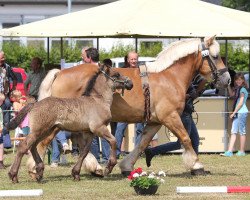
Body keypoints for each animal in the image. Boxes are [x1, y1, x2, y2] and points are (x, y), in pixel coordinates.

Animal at [26, 35, 229, 177]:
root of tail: (60, 72)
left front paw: (126, 166)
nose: (227, 79)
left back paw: (94, 167)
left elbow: (142, 144)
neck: (168, 77)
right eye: (216, 56)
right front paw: (197, 165)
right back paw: (34, 168)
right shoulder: (170, 117)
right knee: (43, 142)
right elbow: (186, 138)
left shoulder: (155, 121)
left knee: (80, 143)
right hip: (58, 122)